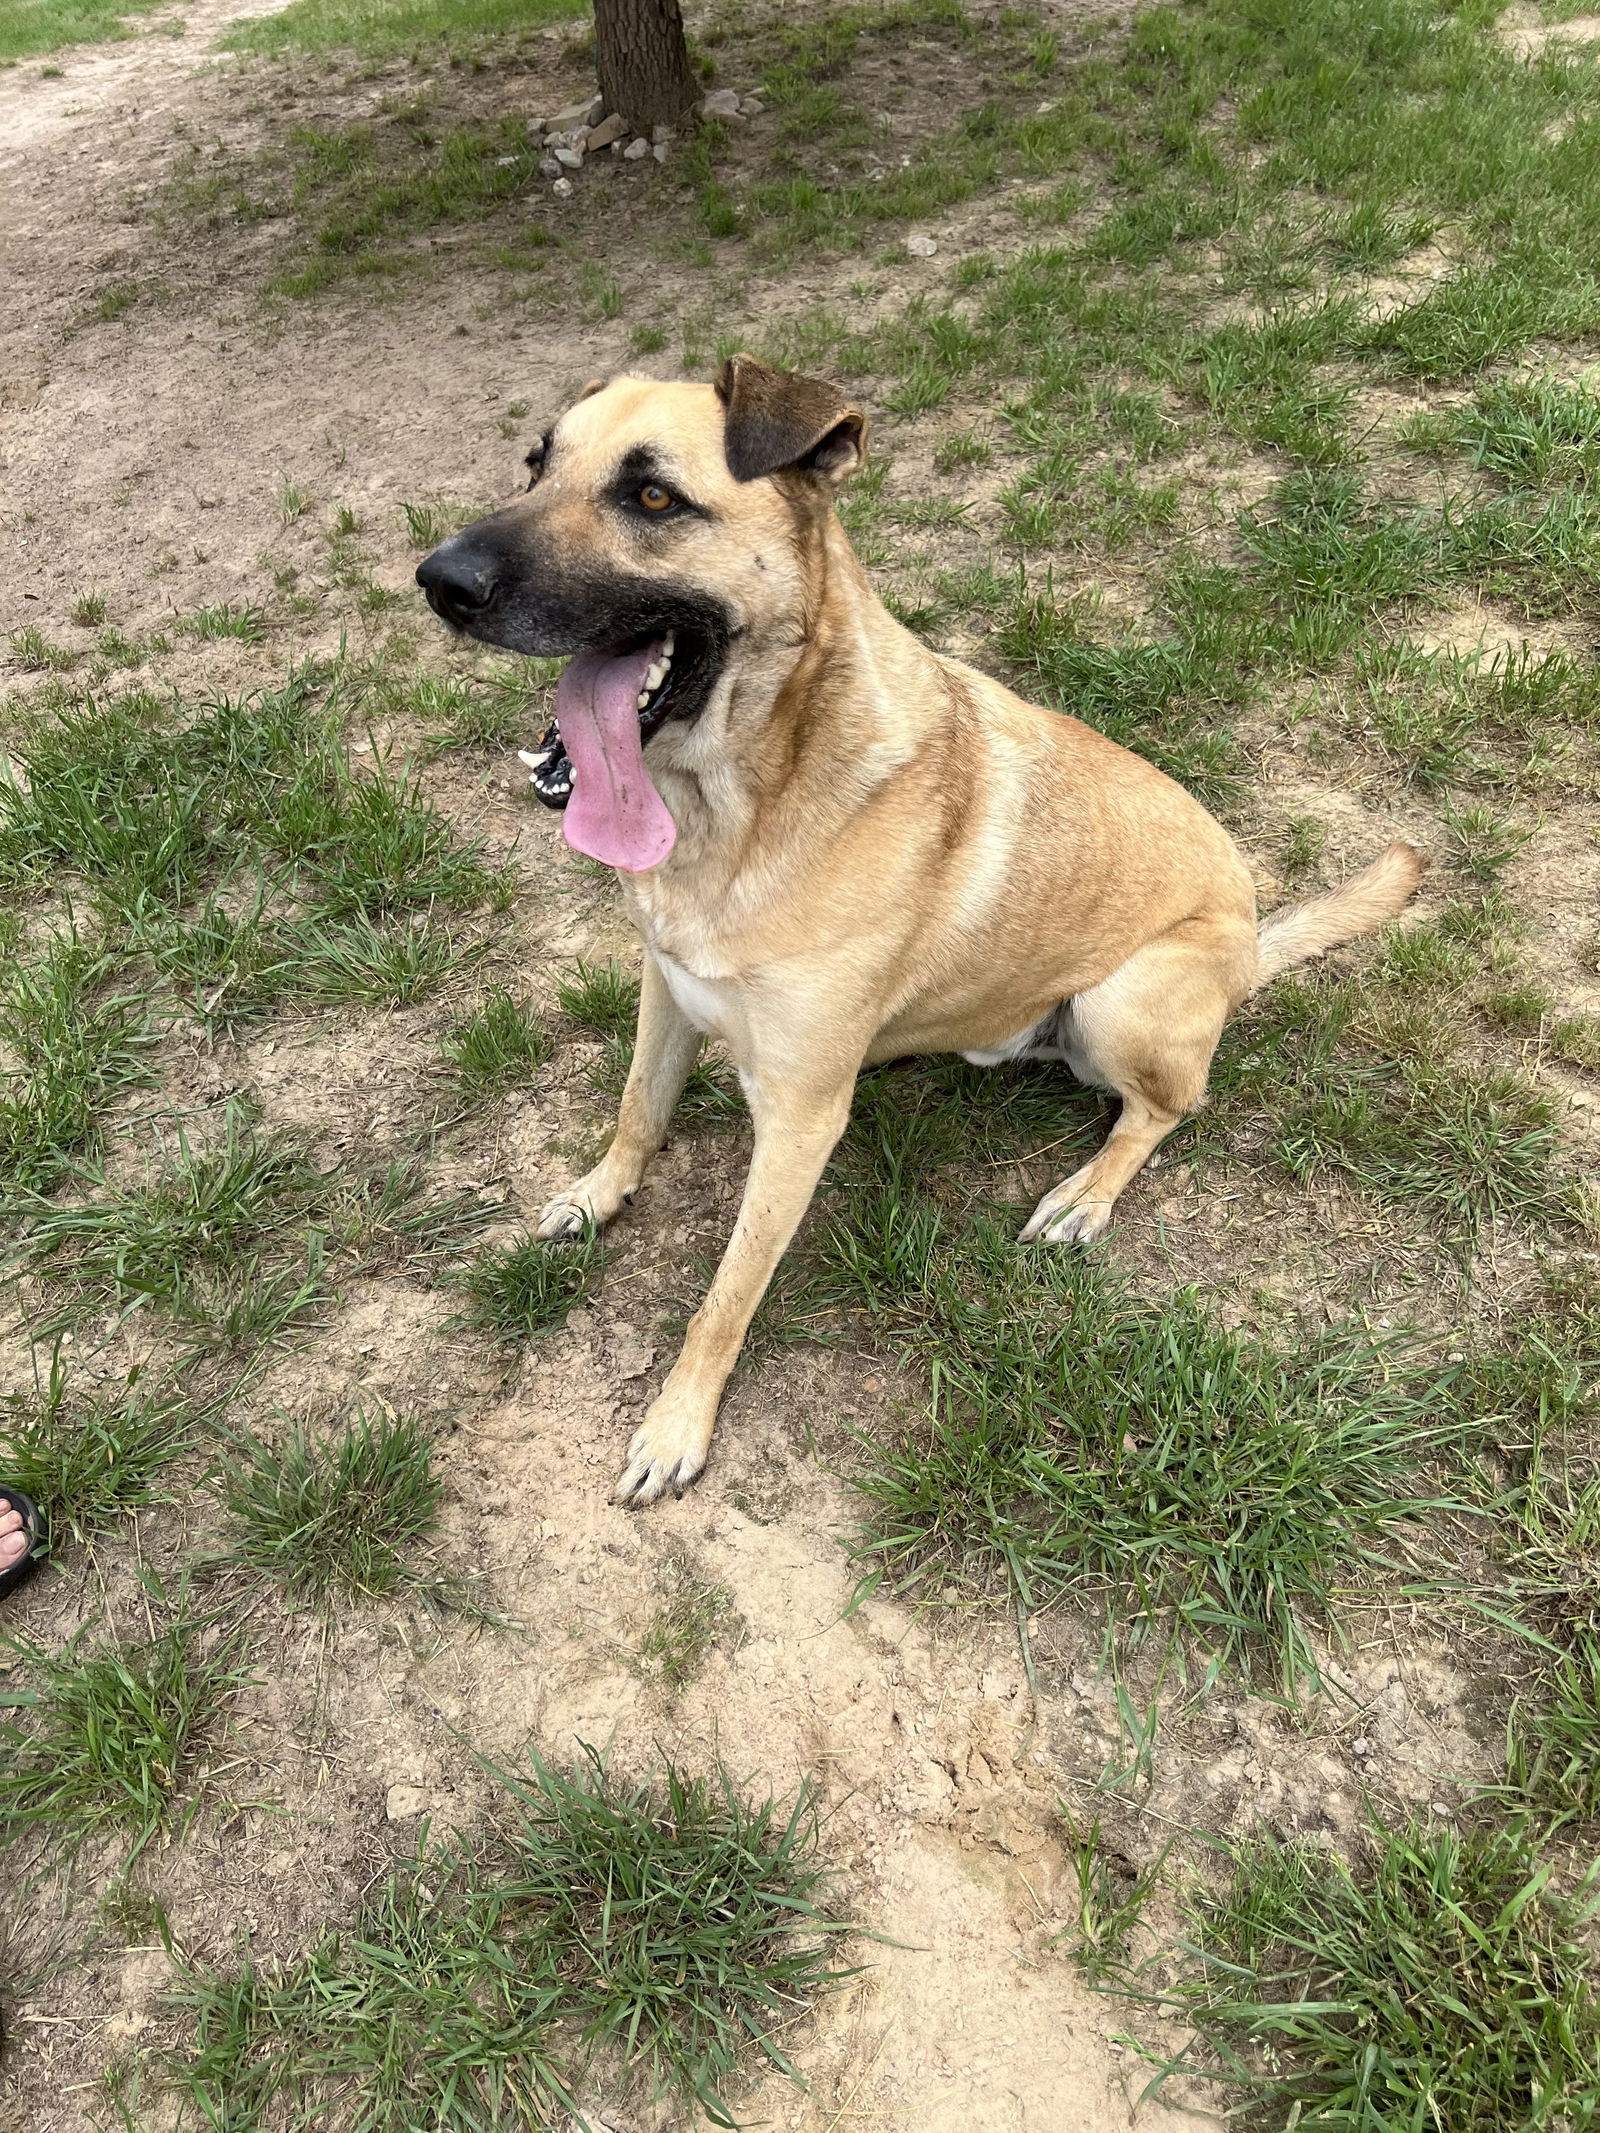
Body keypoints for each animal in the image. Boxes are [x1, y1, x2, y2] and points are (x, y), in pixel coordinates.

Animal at [416, 358, 1425, 1510]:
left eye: (654, 497)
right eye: (535, 464)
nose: (437, 580)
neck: (752, 797)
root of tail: (1254, 941)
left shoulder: (799, 1119)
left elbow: (725, 1292)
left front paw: (676, 1424)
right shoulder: (666, 987)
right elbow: (636, 1111)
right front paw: (597, 1194)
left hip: (1120, 997)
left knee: (1169, 1109)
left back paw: (1086, 1195)